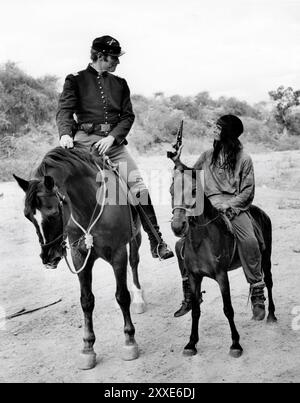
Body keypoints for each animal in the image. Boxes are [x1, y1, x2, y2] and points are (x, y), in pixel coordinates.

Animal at [14, 147, 145, 370]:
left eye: (52, 213)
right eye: (27, 216)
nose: (48, 257)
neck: (90, 204)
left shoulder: (118, 253)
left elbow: (122, 296)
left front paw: (129, 341)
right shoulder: (79, 257)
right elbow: (86, 300)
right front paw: (88, 347)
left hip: (135, 238)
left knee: (134, 263)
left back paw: (139, 297)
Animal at [170, 169, 278, 358]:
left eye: (194, 191)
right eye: (171, 191)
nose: (177, 226)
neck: (201, 242)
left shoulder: (221, 276)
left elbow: (228, 309)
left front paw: (235, 344)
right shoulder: (194, 277)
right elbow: (196, 311)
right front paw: (191, 343)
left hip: (266, 257)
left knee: (269, 282)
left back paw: (271, 315)